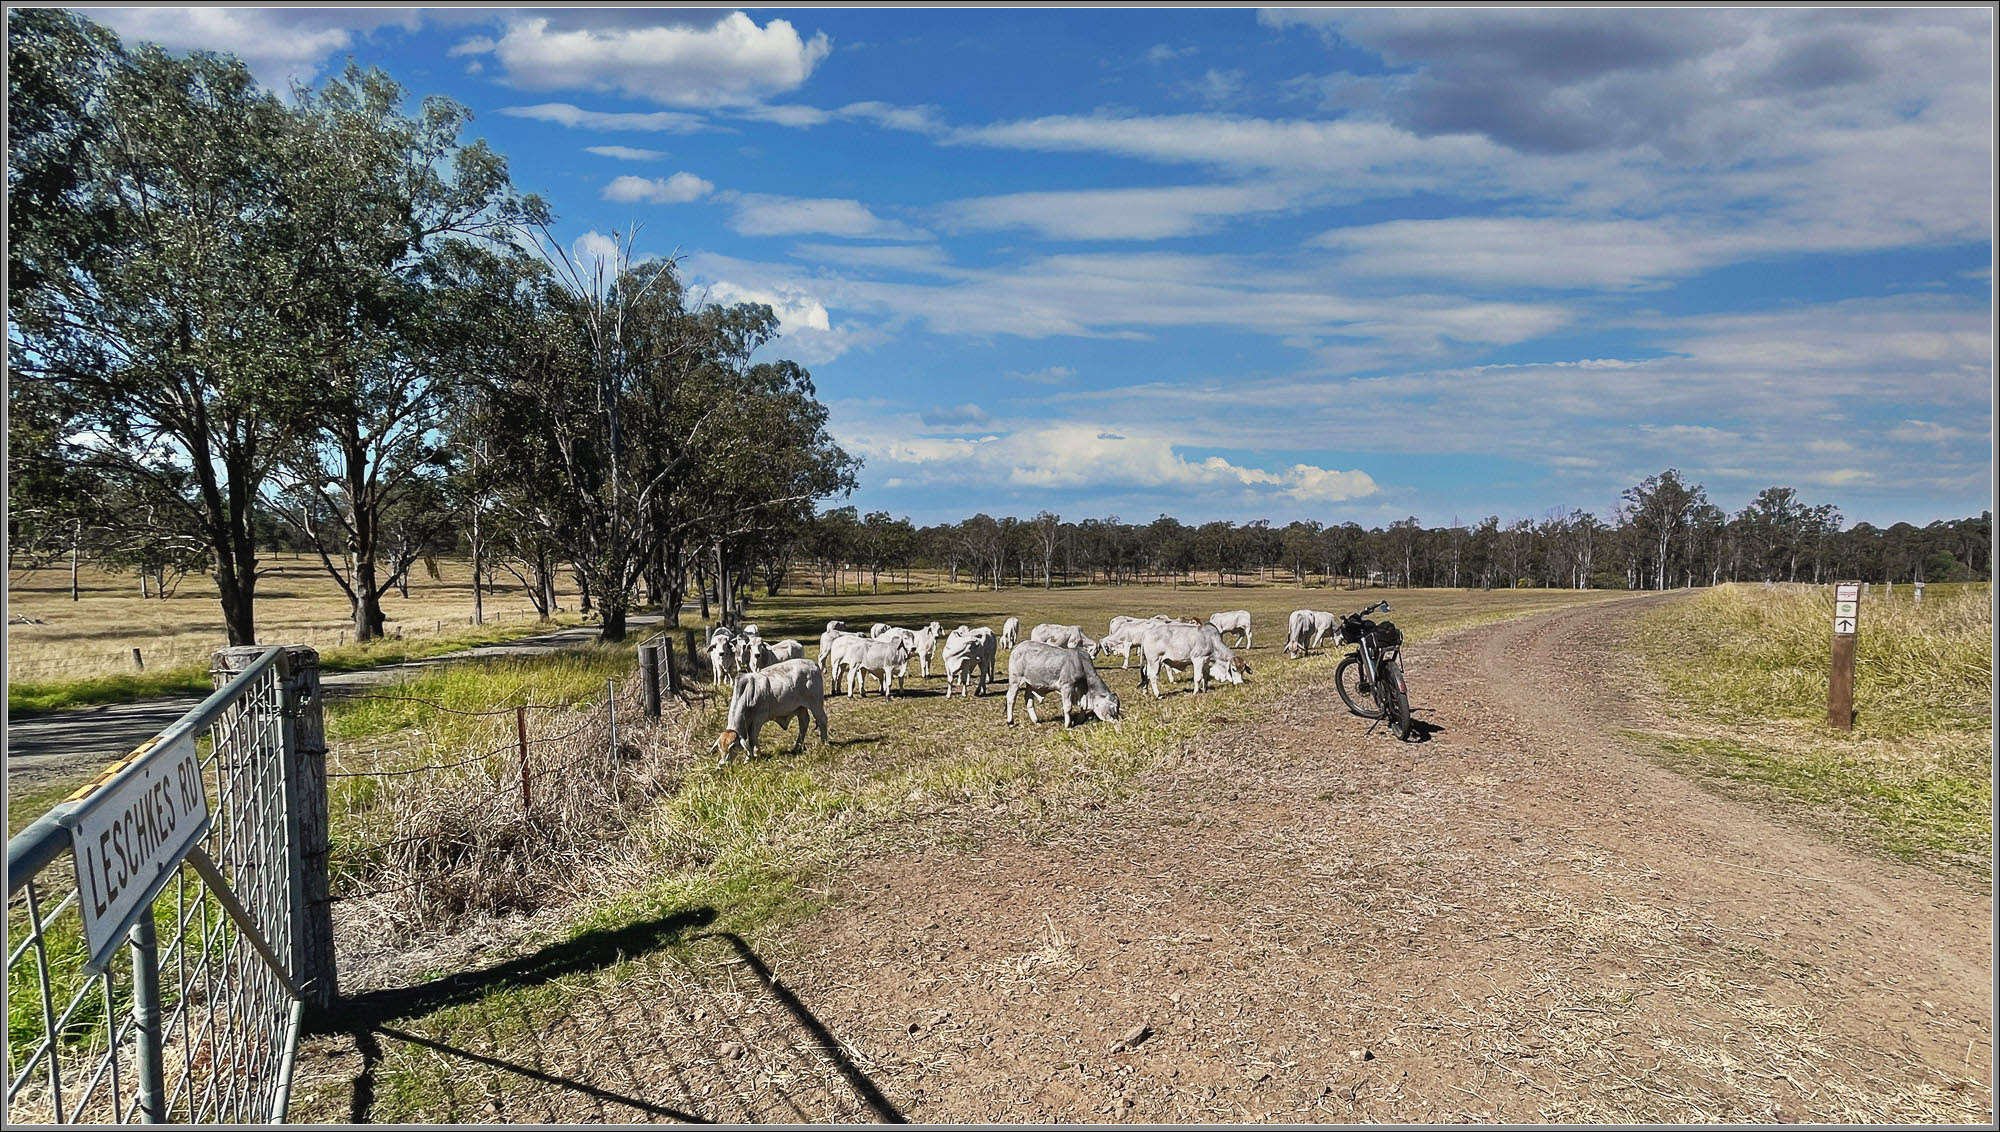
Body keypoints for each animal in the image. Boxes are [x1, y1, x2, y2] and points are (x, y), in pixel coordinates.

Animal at [1000, 644, 1128, 732]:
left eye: (1117, 707)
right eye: (1111, 706)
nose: (1117, 721)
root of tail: (1017, 647)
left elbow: (1082, 707)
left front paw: (1080, 719)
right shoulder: (1066, 686)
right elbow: (1068, 707)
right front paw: (1067, 725)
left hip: (1030, 684)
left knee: (1028, 699)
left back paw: (1035, 720)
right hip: (1015, 680)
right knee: (1011, 698)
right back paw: (1010, 722)